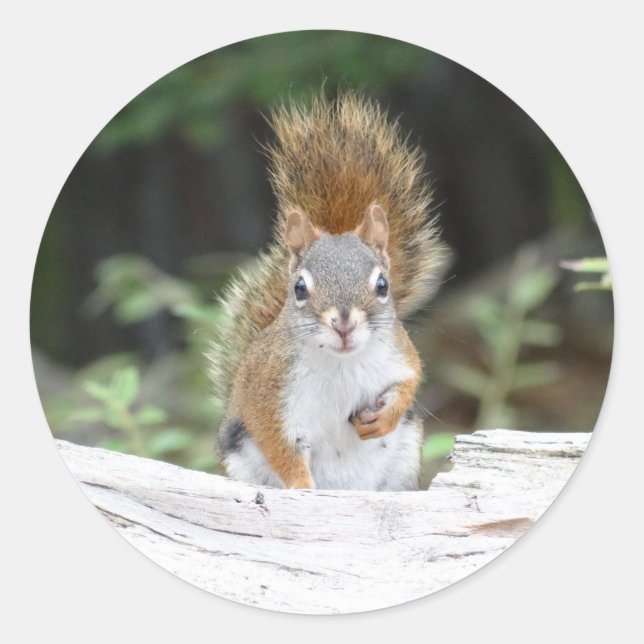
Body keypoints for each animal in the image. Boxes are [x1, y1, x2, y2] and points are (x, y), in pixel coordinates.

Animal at [209, 91, 447, 491]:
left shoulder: (400, 354)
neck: (341, 364)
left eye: (383, 285)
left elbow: (412, 378)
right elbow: (280, 449)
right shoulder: (268, 395)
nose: (344, 324)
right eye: (299, 288)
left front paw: (384, 418)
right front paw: (302, 488)